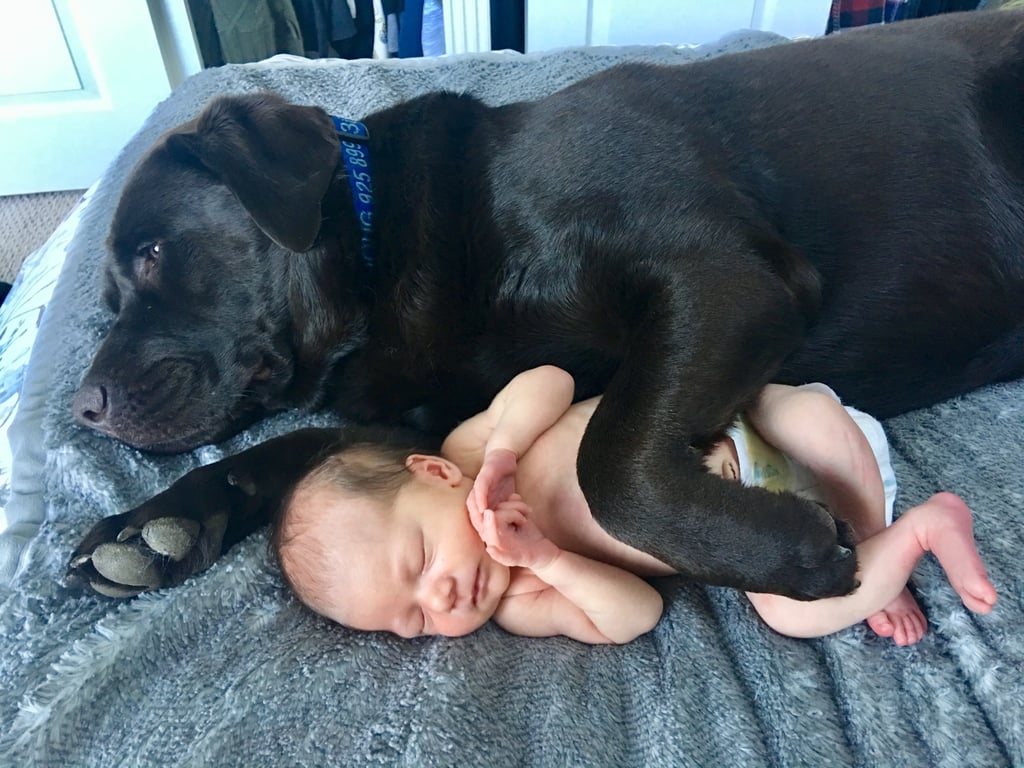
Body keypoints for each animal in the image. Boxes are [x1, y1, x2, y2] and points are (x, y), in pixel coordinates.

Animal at [68, 12, 1024, 602]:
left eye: (155, 254)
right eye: (106, 296)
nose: (84, 408)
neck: (389, 251)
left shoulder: (727, 276)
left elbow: (613, 459)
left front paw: (784, 548)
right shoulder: (421, 423)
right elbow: (288, 452)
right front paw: (161, 522)